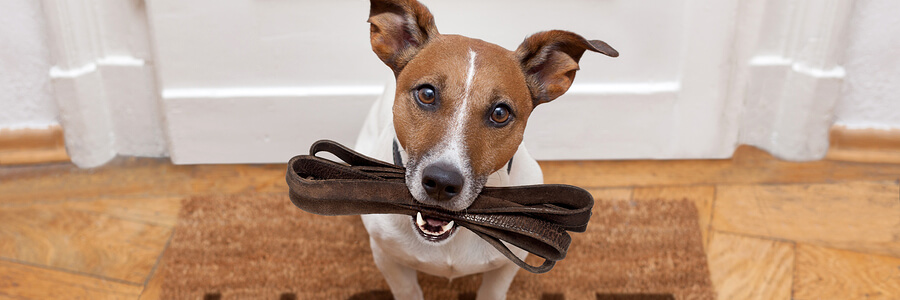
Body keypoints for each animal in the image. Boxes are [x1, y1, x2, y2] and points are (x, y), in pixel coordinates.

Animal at [352, 0, 620, 298]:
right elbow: (407, 289)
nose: (441, 182)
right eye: (427, 94)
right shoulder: (387, 258)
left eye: (500, 113)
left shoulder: (509, 263)